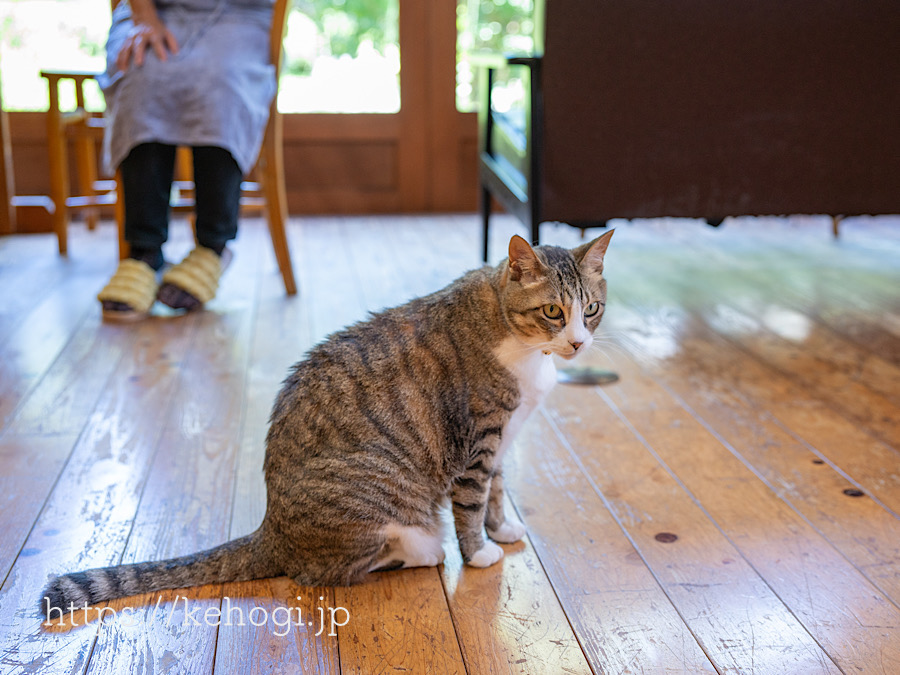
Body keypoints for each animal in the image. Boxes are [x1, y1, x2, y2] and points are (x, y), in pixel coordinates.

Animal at [45, 230, 616, 616]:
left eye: (590, 309)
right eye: (551, 311)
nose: (577, 343)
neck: (518, 341)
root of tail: (273, 528)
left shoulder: (502, 442)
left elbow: (497, 492)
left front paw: (504, 529)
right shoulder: (479, 441)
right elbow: (473, 503)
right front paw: (478, 553)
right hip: (373, 504)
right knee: (326, 571)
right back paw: (422, 552)